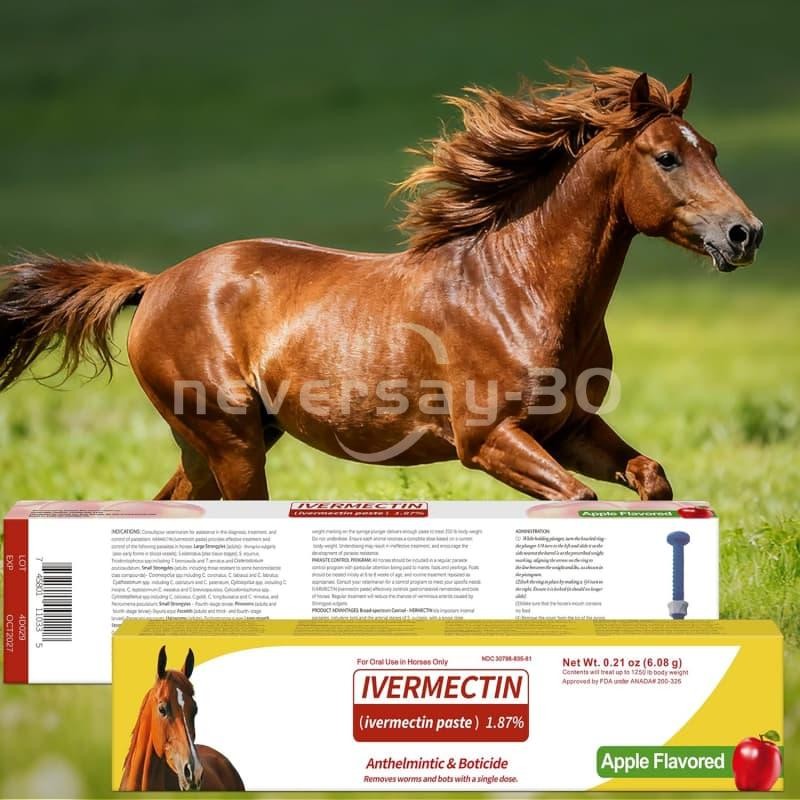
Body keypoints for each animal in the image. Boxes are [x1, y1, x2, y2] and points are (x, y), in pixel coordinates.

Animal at [0, 67, 763, 501]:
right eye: (666, 157)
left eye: (712, 149)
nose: (745, 233)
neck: (516, 292)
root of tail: (155, 282)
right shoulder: (488, 439)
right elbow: (577, 501)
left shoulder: (571, 427)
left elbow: (651, 478)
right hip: (231, 441)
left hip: (224, 443)